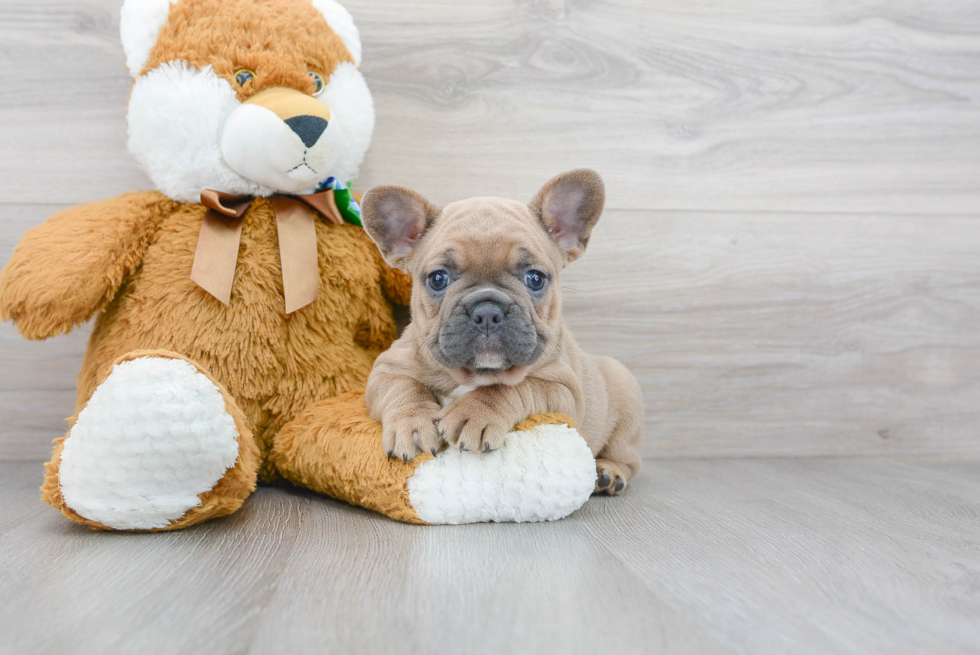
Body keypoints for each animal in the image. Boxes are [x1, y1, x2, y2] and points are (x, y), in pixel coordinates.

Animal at [360, 172, 644, 494]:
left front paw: (476, 411)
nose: (487, 311)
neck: (473, 374)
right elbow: (404, 388)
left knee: (629, 458)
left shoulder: (563, 391)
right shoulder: (385, 370)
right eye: (438, 279)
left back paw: (609, 473)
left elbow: (514, 387)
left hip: (626, 400)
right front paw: (412, 423)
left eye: (535, 279)